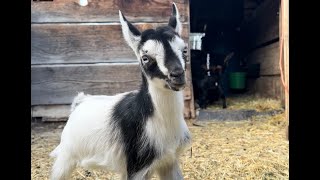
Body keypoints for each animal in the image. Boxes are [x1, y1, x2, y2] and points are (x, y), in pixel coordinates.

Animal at [49, 2, 190, 180]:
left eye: (184, 50)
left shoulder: (169, 161)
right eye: (145, 58)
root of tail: (81, 101)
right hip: (66, 156)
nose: (177, 75)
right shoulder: (137, 166)